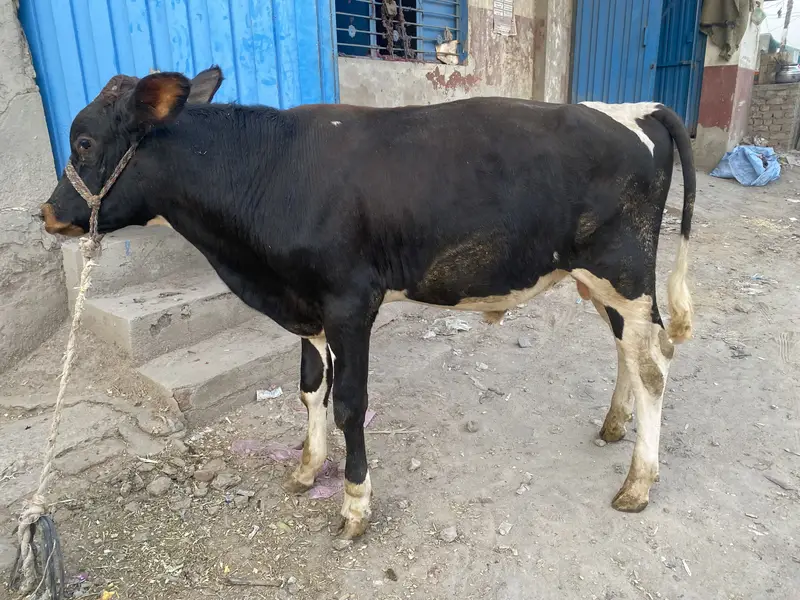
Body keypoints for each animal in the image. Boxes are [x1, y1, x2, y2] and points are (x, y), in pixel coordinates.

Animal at [41, 69, 695, 540]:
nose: (47, 212)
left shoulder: (351, 302)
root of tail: (634, 108)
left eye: (85, 141)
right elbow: (310, 388)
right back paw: (614, 425)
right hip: (601, 281)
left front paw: (355, 504)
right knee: (629, 351)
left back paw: (639, 483)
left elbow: (350, 405)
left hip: (624, 270)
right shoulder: (305, 303)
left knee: (654, 366)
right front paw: (308, 468)